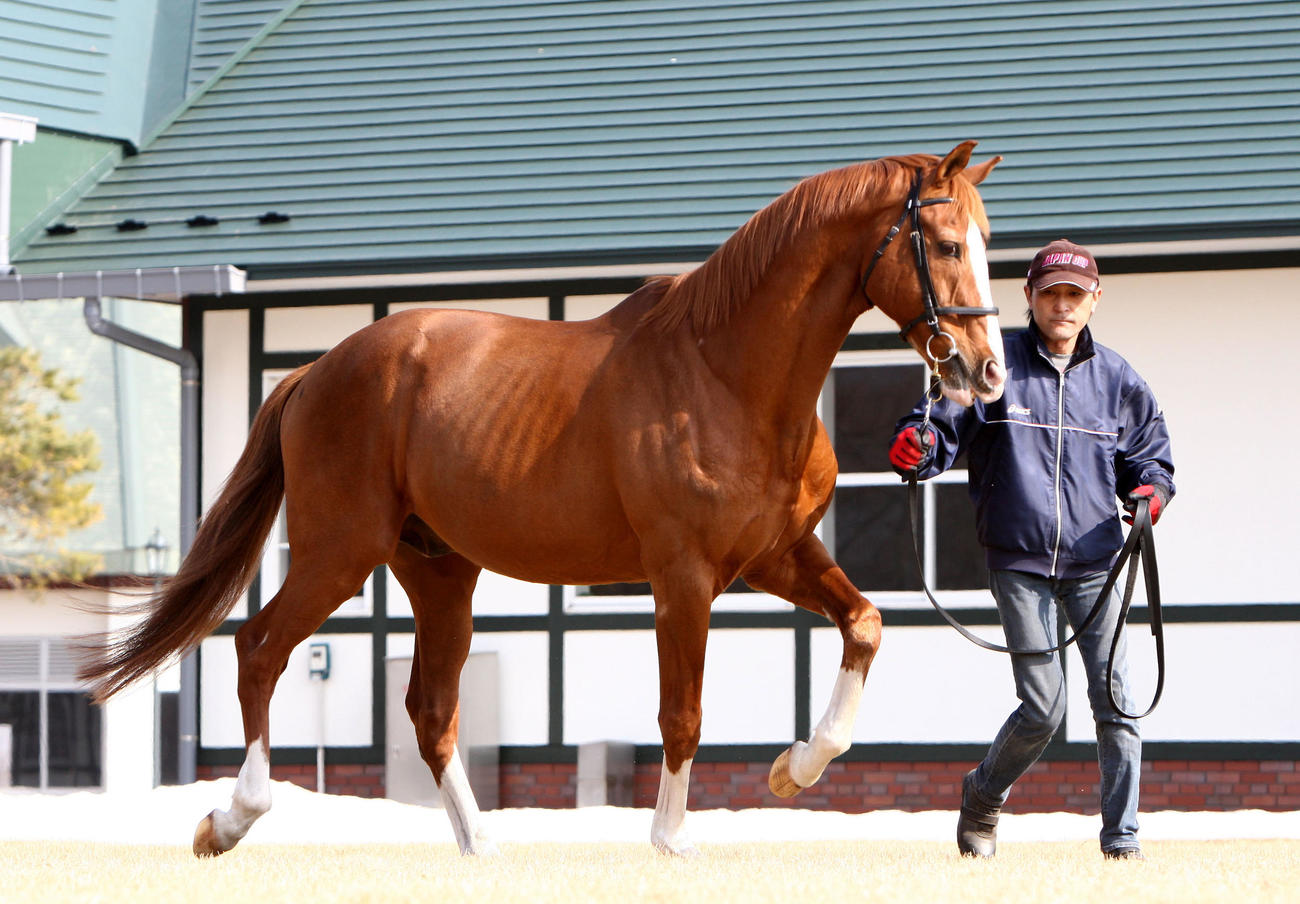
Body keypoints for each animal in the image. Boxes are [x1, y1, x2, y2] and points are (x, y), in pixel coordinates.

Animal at [79, 140, 1005, 857]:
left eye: (987, 240)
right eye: (944, 242)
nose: (986, 372)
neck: (725, 373)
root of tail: (314, 370)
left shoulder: (775, 556)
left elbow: (866, 623)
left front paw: (795, 766)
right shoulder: (684, 579)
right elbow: (683, 713)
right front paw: (672, 842)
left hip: (440, 574)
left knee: (430, 711)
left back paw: (481, 847)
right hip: (339, 553)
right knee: (261, 649)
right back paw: (232, 818)